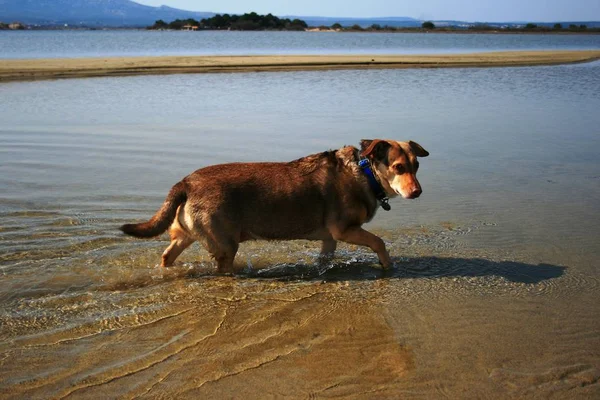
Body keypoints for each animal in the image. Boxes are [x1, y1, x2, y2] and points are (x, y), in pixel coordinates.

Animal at [120, 139, 426, 274]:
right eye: (398, 167)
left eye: (417, 165)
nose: (418, 192)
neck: (364, 173)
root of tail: (185, 182)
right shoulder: (344, 230)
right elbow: (379, 242)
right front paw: (387, 265)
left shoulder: (330, 238)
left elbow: (325, 258)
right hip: (225, 244)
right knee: (222, 267)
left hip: (186, 234)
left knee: (167, 255)